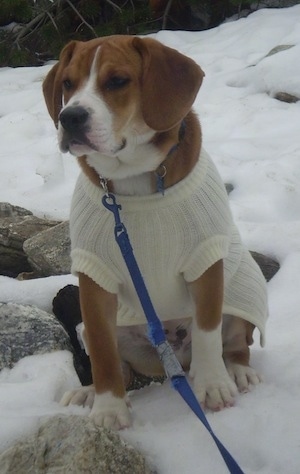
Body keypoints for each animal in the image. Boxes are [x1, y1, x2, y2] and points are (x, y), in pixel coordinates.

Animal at [43, 36, 268, 430]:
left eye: (117, 81)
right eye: (68, 83)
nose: (69, 117)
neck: (133, 178)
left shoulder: (206, 264)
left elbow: (207, 333)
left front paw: (213, 386)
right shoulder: (94, 278)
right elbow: (102, 352)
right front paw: (108, 408)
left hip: (245, 291)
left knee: (237, 343)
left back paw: (237, 372)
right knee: (122, 368)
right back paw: (88, 394)